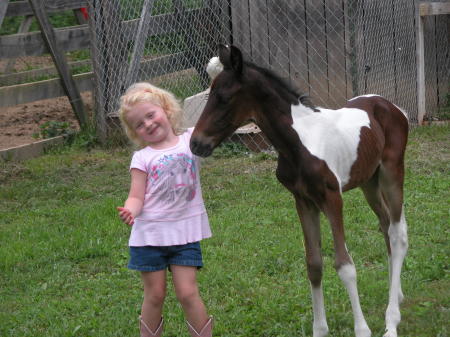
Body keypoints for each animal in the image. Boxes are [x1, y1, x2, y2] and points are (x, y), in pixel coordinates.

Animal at [190, 45, 408, 336]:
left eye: (224, 97)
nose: (196, 143)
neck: (299, 143)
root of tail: (391, 106)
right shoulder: (303, 201)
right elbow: (314, 264)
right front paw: (320, 330)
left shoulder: (332, 198)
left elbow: (345, 265)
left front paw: (362, 329)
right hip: (369, 182)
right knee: (385, 225)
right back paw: (396, 296)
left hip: (391, 173)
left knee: (397, 233)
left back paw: (391, 320)